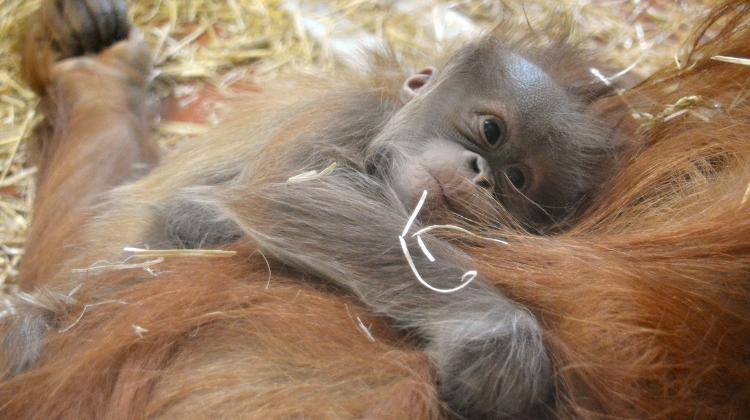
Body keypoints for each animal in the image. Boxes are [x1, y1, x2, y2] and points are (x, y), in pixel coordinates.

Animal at [3, 0, 624, 418]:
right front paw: (496, 335)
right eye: (491, 131)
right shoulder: (345, 115)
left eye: (517, 182)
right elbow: (285, 192)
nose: (483, 177)